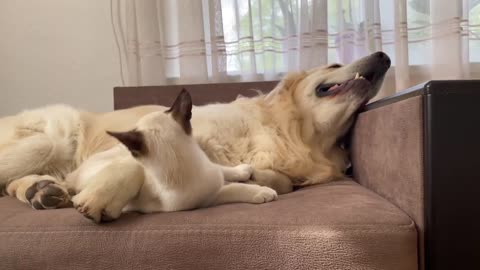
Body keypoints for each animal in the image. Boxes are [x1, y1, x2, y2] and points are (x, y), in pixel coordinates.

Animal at [0, 51, 390, 213]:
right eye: (335, 64)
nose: (385, 57)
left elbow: (280, 181)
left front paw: (255, 179)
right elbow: (129, 164)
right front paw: (101, 197)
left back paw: (43, 190)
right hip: (45, 140)